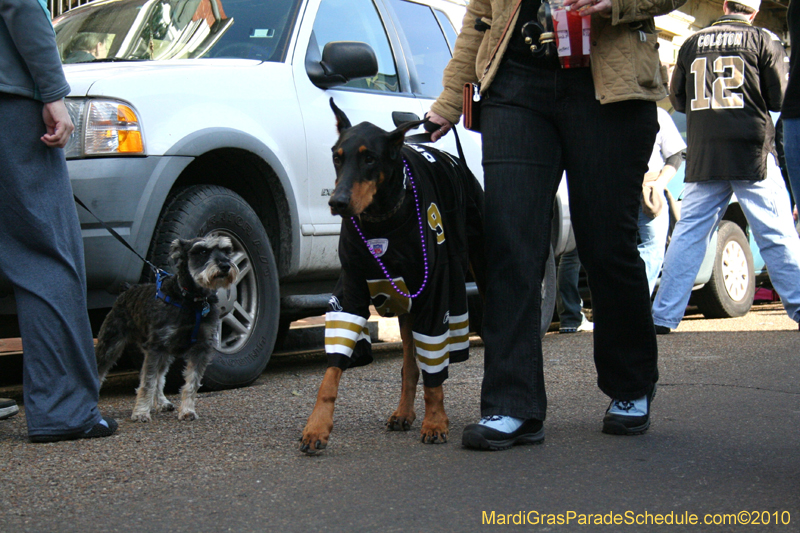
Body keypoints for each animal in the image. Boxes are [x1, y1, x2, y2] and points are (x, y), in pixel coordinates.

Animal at [96, 235, 238, 422]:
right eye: (202, 251)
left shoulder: (200, 349)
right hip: (111, 344)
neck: (192, 300)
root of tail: (127, 290)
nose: (225, 265)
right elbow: (147, 382)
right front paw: (141, 412)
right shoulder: (156, 347)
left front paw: (187, 410)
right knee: (100, 370)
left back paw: (162, 402)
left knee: (160, 377)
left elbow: (191, 383)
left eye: (226, 251)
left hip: (165, 353)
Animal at [302, 100, 484, 454]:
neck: (383, 218)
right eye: (336, 156)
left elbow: (434, 369)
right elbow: (331, 373)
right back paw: (403, 412)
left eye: (369, 158)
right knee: (409, 364)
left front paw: (435, 422)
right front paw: (317, 427)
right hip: (403, 300)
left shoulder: (435, 293)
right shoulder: (351, 292)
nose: (337, 202)